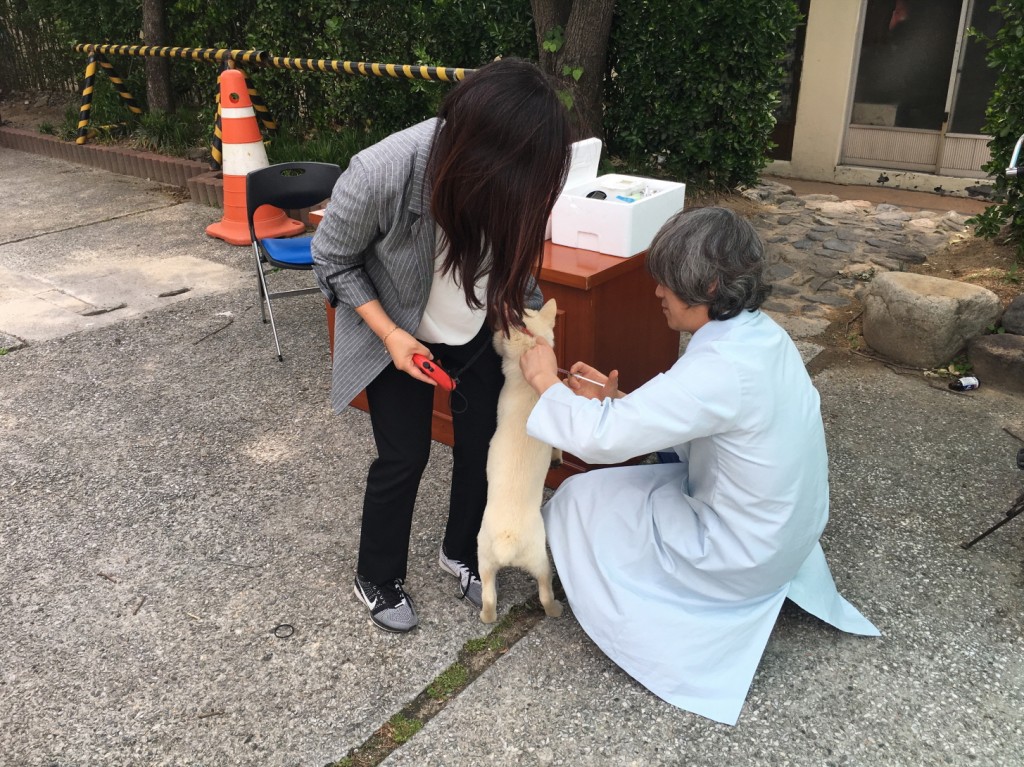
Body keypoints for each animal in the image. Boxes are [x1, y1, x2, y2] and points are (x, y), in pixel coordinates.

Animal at [475, 296, 565, 626]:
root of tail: (507, 540)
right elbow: (558, 448)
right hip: (540, 560)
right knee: (545, 592)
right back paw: (555, 610)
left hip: (485, 558)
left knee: (489, 595)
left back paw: (487, 616)